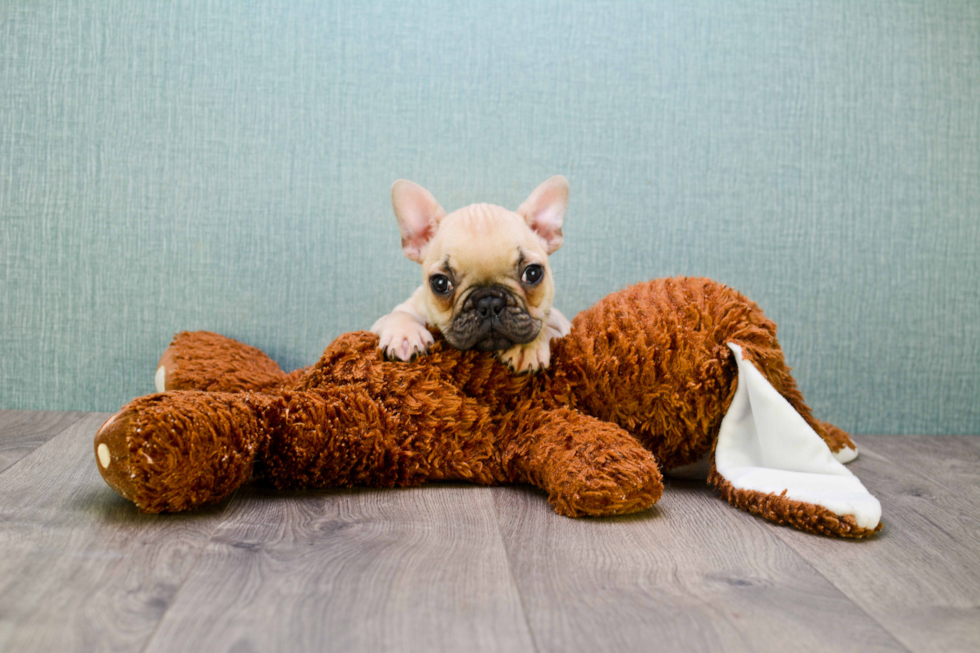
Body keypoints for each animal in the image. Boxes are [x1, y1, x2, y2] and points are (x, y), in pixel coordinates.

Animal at [374, 177, 576, 372]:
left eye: (532, 273)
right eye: (440, 283)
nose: (489, 302)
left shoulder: (563, 325)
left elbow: (543, 325)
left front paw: (525, 348)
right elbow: (399, 315)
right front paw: (405, 335)